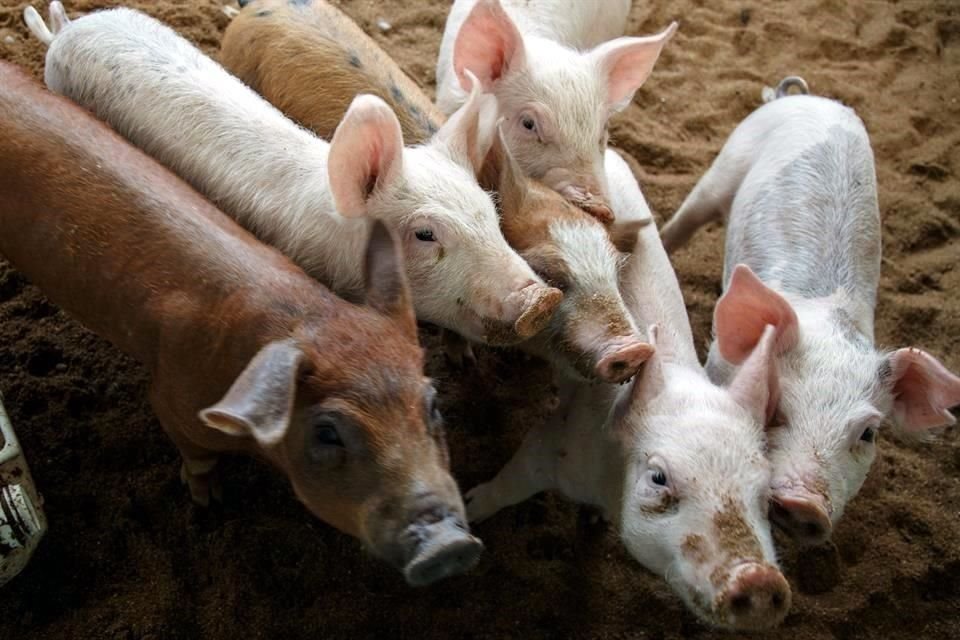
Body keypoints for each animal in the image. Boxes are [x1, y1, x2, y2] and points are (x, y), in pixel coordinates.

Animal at [0, 60, 482, 586]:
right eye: (327, 431)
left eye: (433, 404)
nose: (450, 545)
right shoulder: (171, 399)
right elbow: (197, 457)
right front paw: (210, 504)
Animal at [465, 151, 792, 630]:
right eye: (658, 477)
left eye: (765, 493)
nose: (759, 580)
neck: (609, 483)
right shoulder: (551, 442)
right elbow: (506, 485)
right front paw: (470, 513)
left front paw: (591, 524)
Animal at [660, 77, 960, 545]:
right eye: (776, 408)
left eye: (867, 433)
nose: (804, 504)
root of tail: (803, 96)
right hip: (726, 163)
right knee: (686, 219)